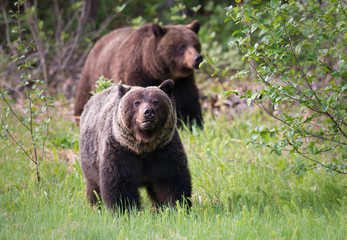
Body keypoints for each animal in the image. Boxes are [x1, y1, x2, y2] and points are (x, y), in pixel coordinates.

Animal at [74, 20, 204, 128]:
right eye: (182, 46)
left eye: (195, 44)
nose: (197, 58)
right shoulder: (135, 73)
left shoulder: (183, 80)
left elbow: (188, 101)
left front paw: (194, 123)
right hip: (93, 74)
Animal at [79, 79, 193, 211]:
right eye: (136, 102)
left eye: (156, 101)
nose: (148, 112)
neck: (144, 146)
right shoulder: (120, 151)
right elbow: (119, 184)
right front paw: (125, 209)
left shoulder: (164, 150)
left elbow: (172, 180)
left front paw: (177, 206)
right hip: (89, 161)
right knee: (93, 187)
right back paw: (95, 206)